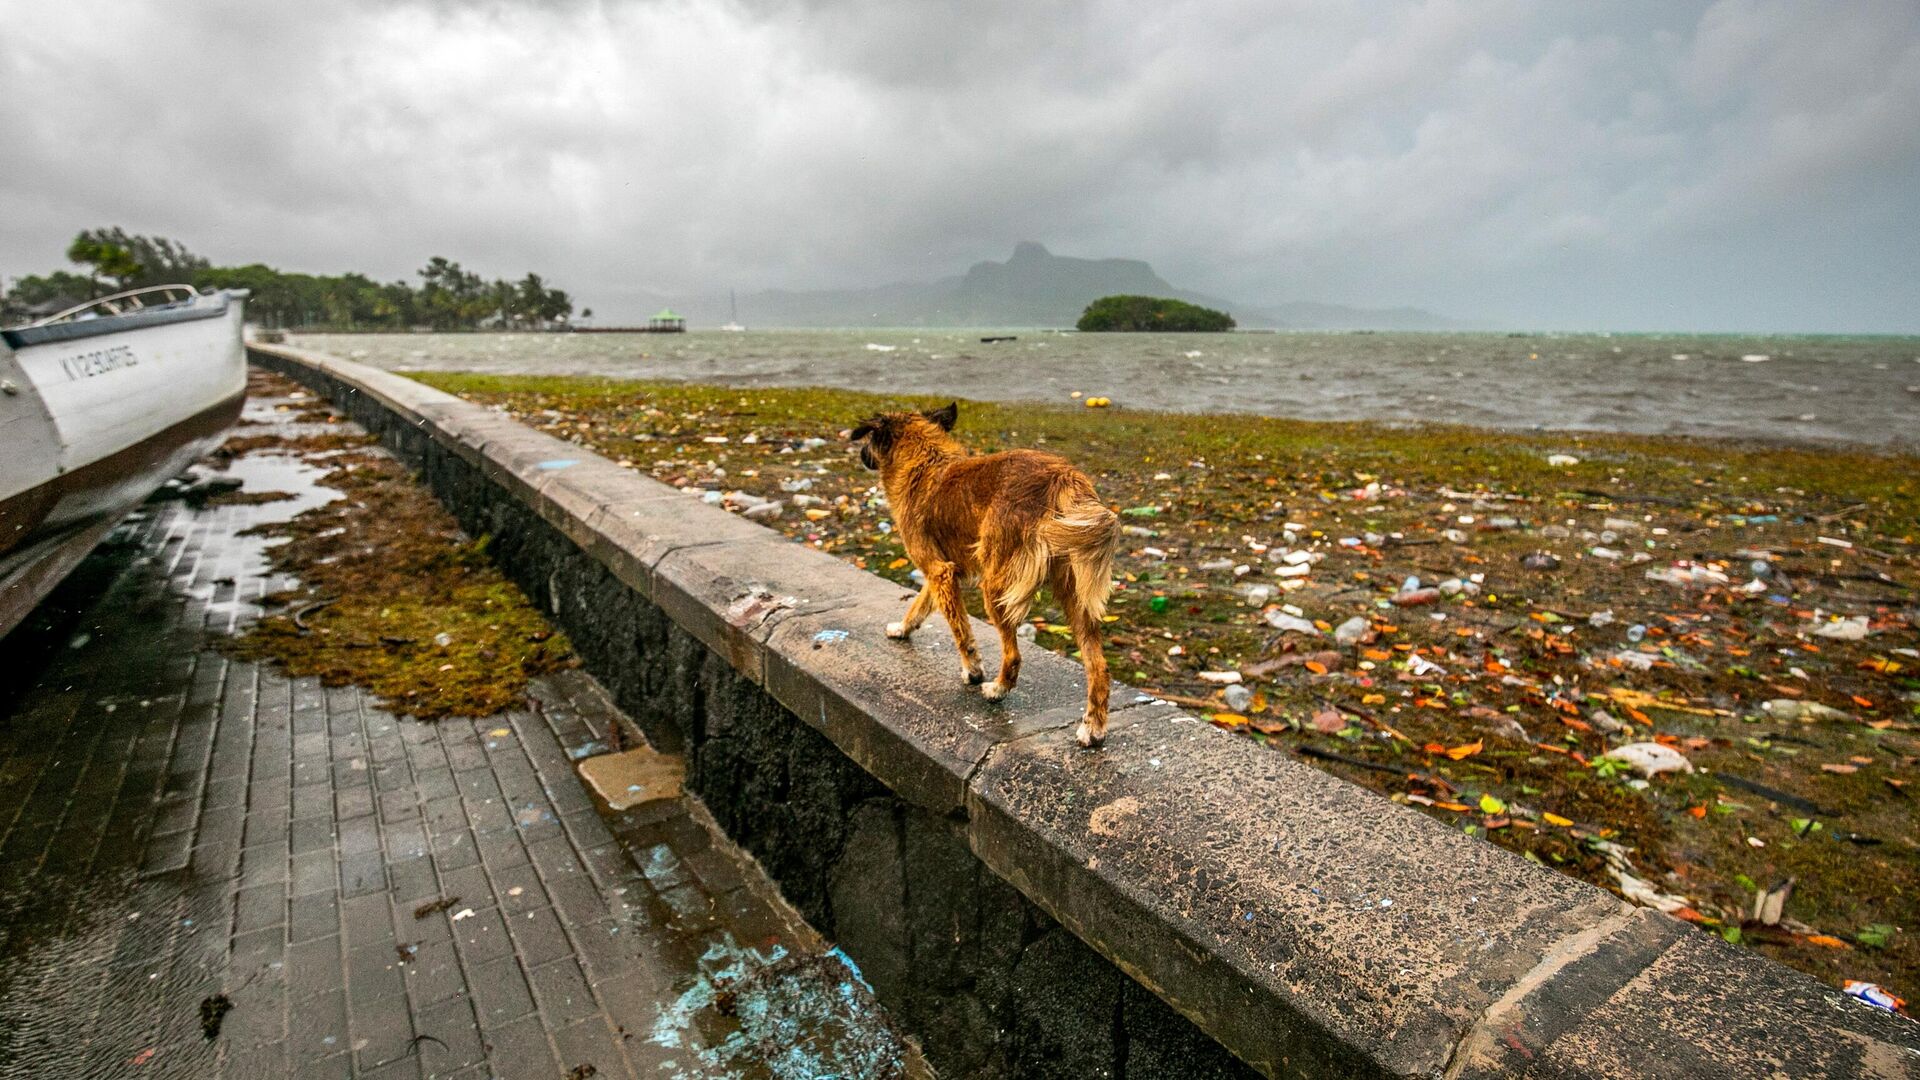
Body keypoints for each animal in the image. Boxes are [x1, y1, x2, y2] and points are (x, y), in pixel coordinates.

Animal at [848, 399, 1121, 745]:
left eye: (868, 439)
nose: (861, 454)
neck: (923, 461)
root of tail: (1062, 477)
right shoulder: (942, 572)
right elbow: (920, 605)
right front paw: (903, 628)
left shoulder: (940, 570)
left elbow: (960, 630)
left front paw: (973, 670)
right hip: (1075, 593)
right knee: (1098, 665)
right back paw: (1093, 727)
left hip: (997, 586)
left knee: (1013, 655)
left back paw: (997, 689)